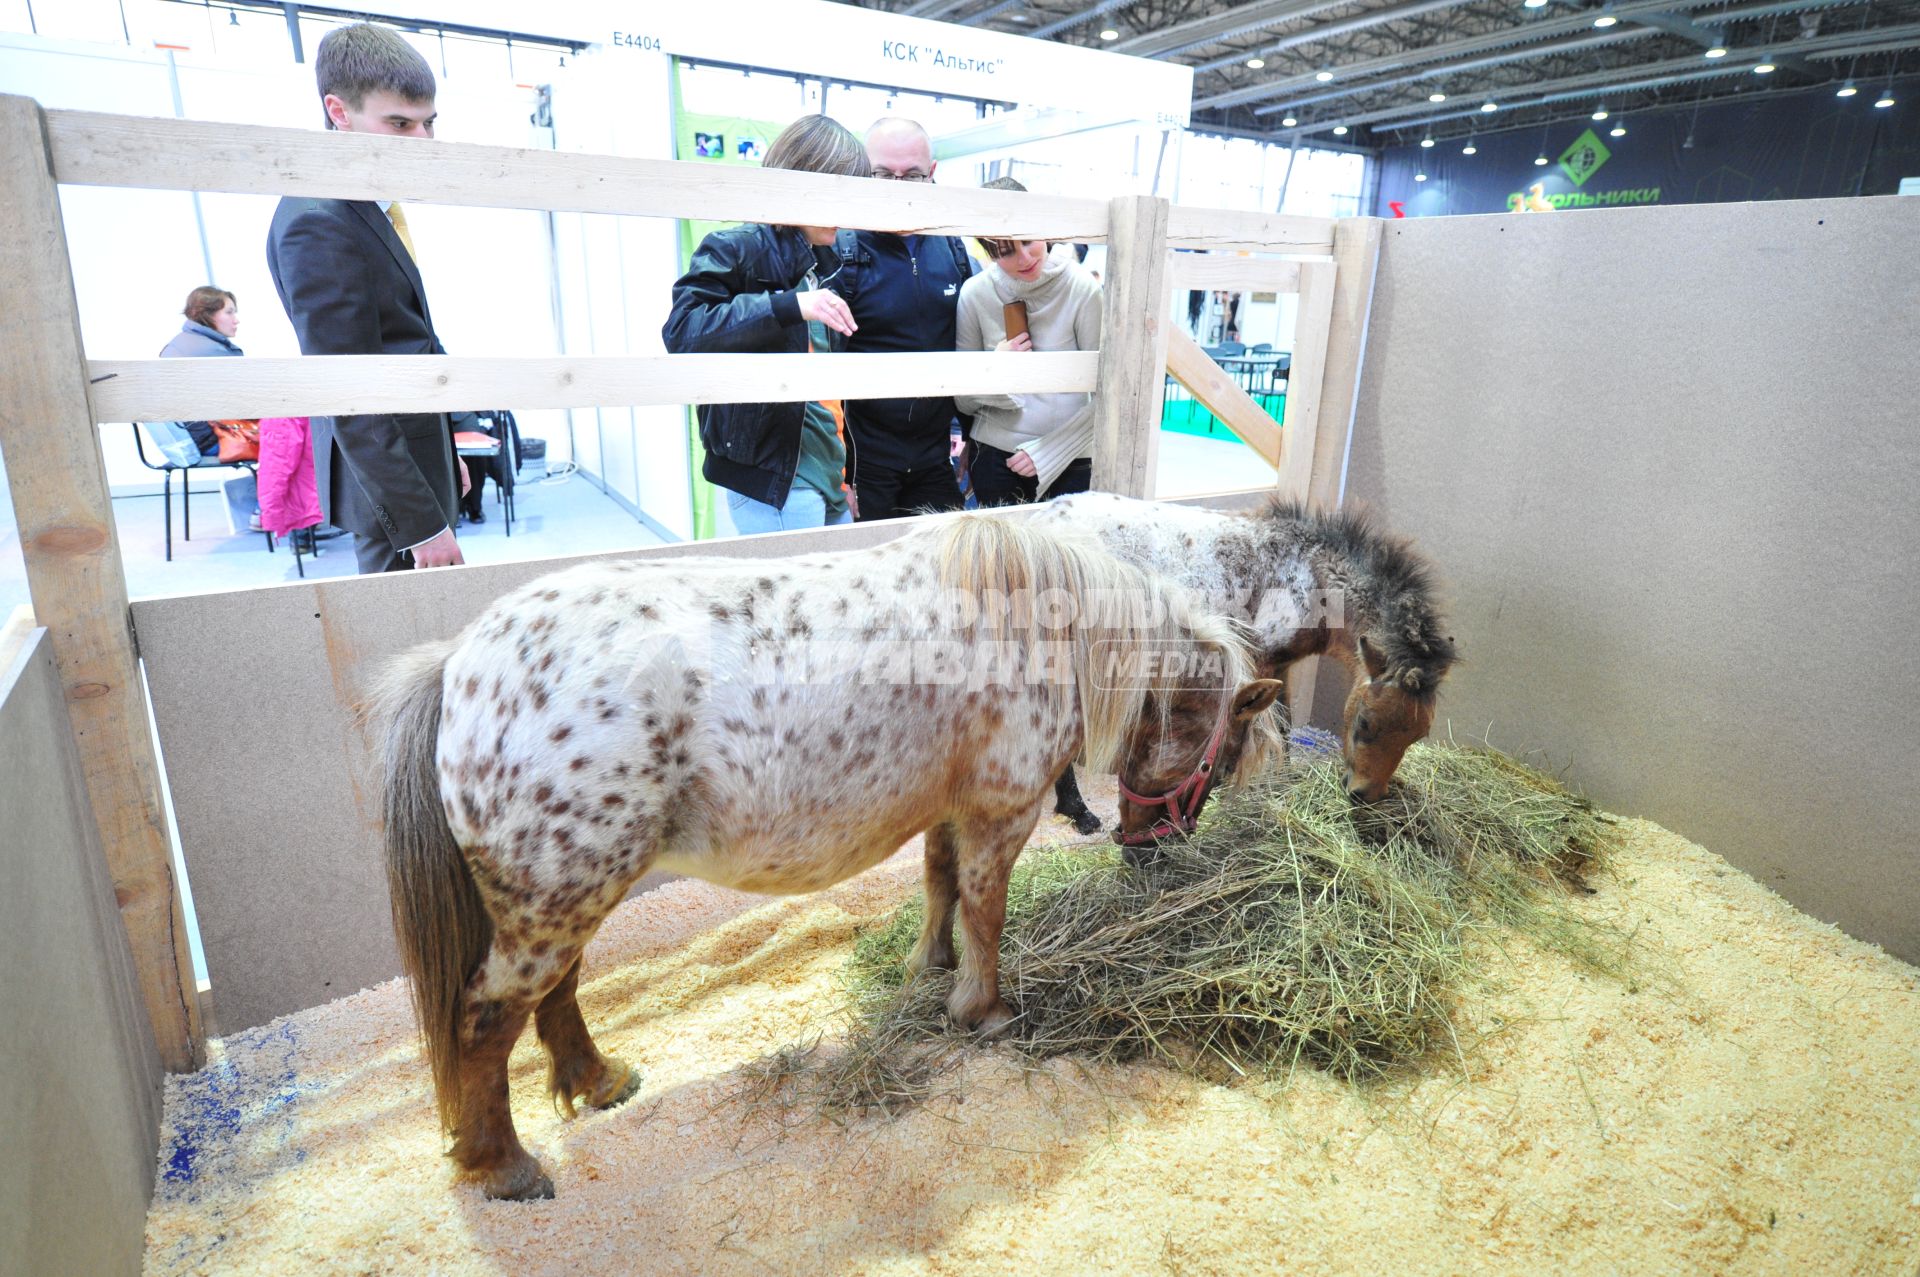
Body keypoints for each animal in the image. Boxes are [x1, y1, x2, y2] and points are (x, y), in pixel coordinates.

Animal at [366, 514, 1282, 1198]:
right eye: (1225, 754)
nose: (1154, 855)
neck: (1037, 623)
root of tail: (460, 666)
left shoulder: (947, 808)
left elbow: (941, 886)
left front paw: (928, 969)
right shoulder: (1002, 810)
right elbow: (987, 909)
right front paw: (983, 1008)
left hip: (572, 891)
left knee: (555, 994)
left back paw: (599, 1081)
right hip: (556, 899)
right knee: (486, 1019)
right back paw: (505, 1165)